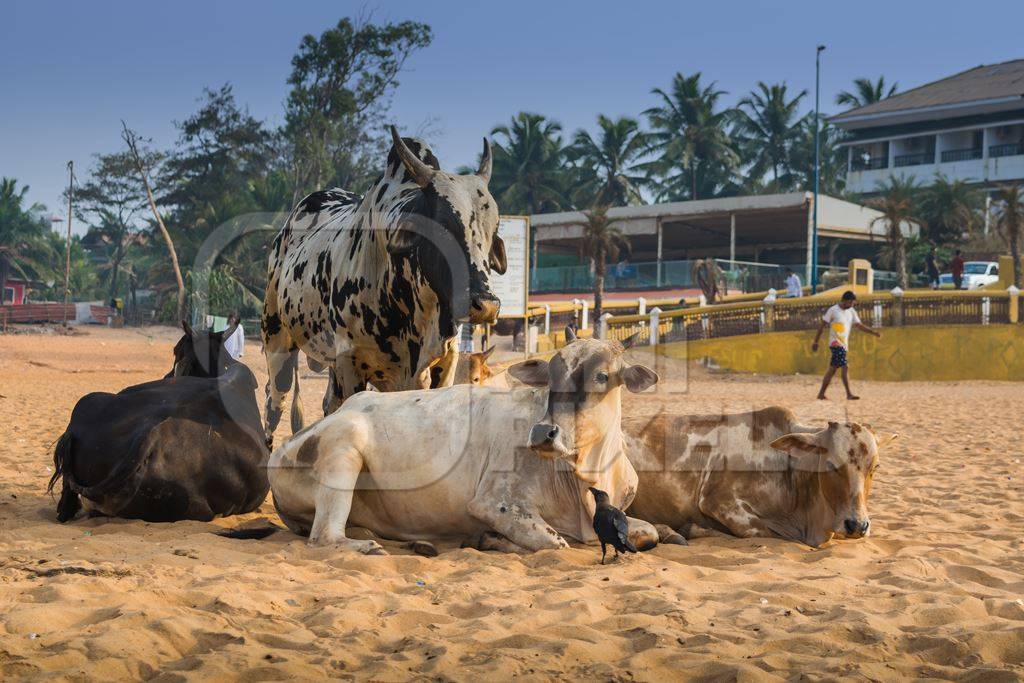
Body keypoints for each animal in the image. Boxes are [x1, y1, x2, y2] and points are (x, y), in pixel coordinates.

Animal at [262, 126, 505, 448]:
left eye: (494, 228)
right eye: (441, 225)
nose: (486, 305)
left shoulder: (444, 365)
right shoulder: (351, 364)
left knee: (327, 405)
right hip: (277, 341)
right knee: (273, 401)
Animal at [268, 333, 659, 552]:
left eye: (602, 376)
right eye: (552, 374)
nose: (542, 434)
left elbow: (651, 532)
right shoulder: (492, 503)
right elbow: (556, 542)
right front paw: (489, 540)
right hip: (343, 449)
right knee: (324, 537)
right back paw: (368, 546)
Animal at [622, 405, 897, 548]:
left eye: (875, 467)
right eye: (831, 465)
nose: (857, 525)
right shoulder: (718, 502)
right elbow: (767, 532)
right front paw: (690, 529)